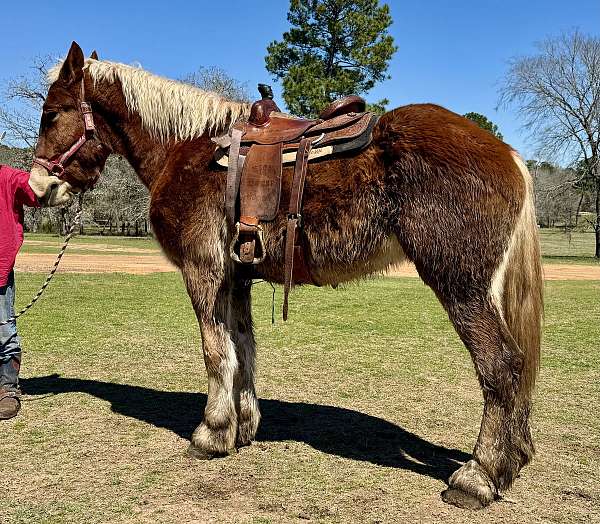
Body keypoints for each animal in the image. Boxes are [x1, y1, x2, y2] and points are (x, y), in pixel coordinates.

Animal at [29, 43, 544, 510]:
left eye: (52, 114)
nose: (39, 186)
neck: (185, 149)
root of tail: (508, 154)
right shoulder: (236, 278)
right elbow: (242, 348)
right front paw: (243, 427)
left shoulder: (203, 271)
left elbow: (215, 352)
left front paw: (211, 432)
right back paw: (510, 463)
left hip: (460, 286)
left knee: (502, 366)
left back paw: (478, 477)